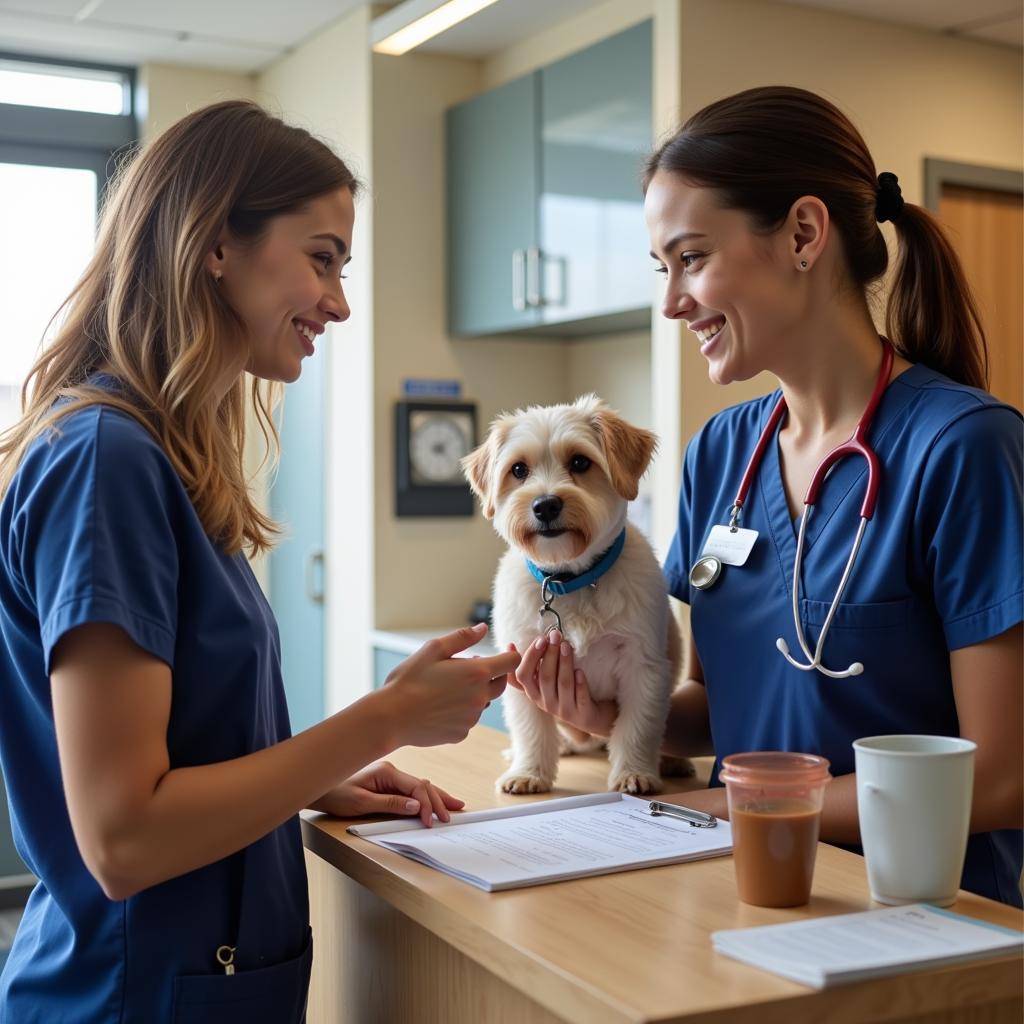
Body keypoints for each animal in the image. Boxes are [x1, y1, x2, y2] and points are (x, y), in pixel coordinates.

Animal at [462, 391, 679, 790]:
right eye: (519, 470)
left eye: (580, 461)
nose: (545, 504)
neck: (570, 580)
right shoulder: (522, 666)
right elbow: (531, 728)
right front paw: (529, 771)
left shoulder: (644, 666)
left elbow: (638, 728)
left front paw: (634, 772)